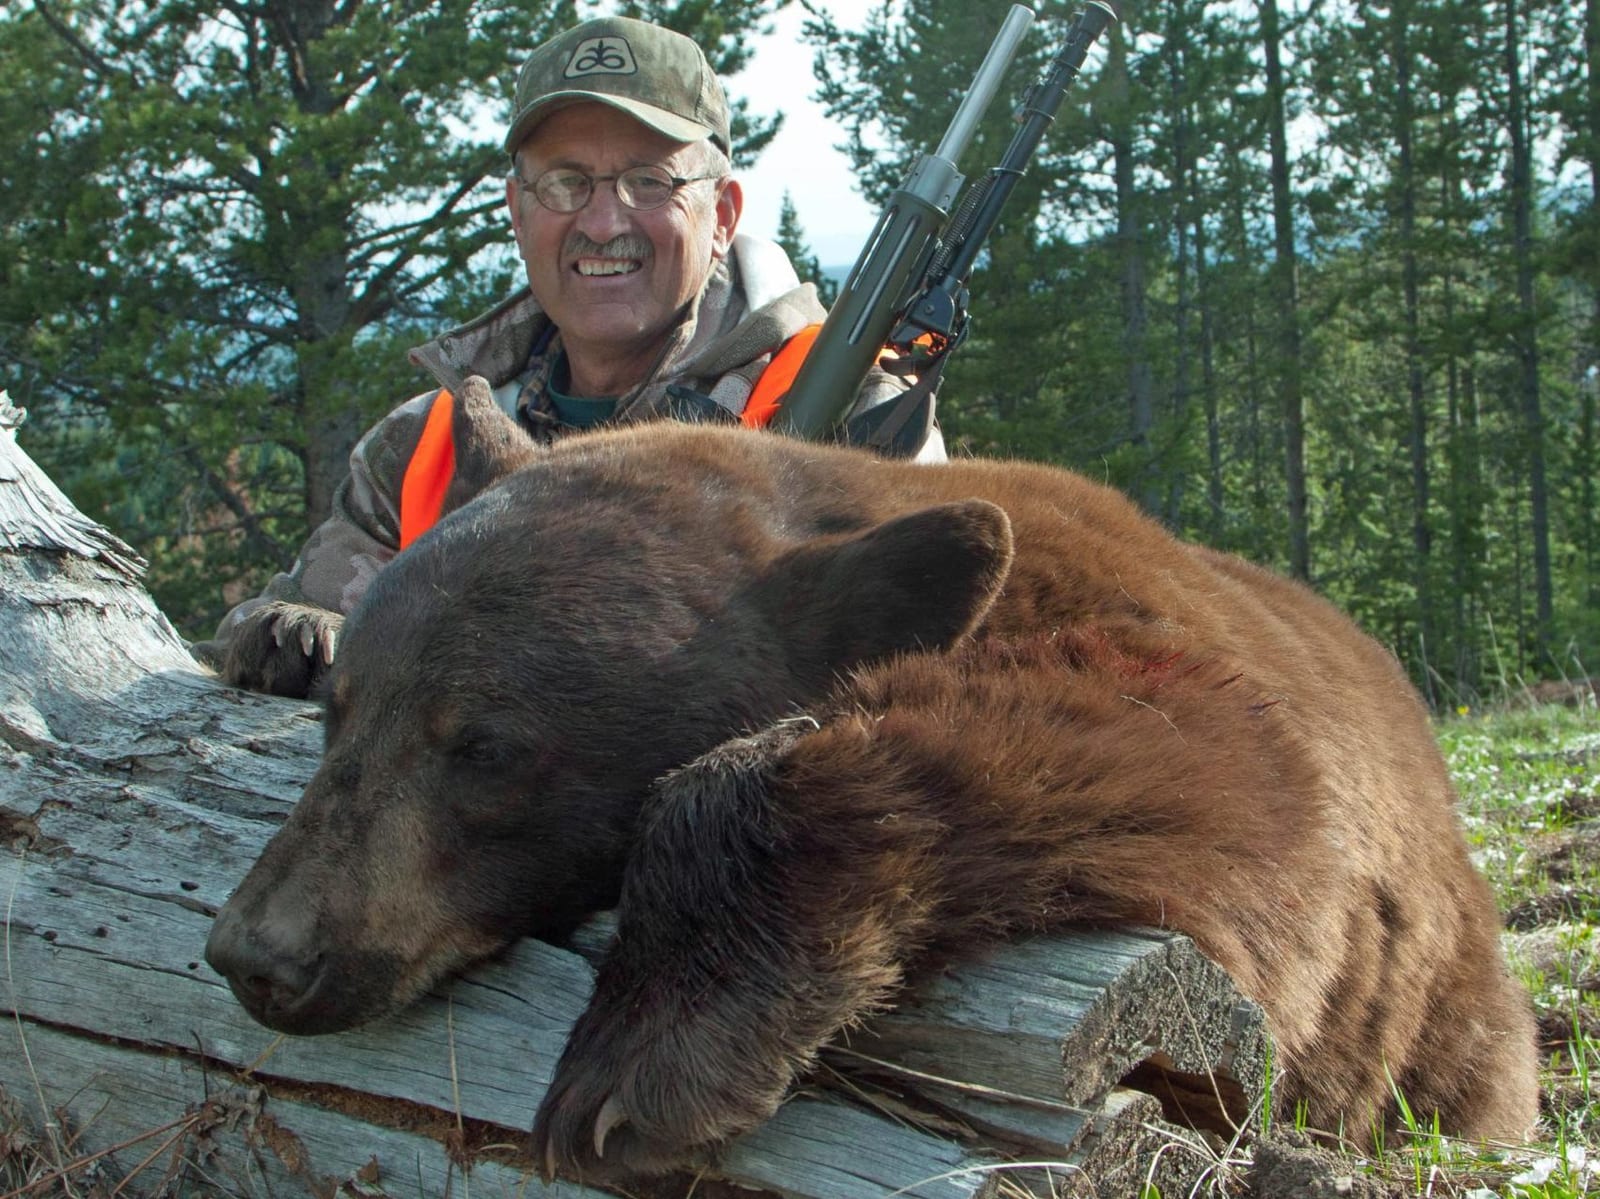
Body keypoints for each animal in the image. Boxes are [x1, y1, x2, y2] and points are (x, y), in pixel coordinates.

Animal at [205, 377, 1539, 1182]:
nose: (258, 953)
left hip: (1454, 1025)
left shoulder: (1193, 678)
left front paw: (639, 1065)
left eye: (484, 743)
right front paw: (287, 631)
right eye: (342, 715)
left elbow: (1186, 755)